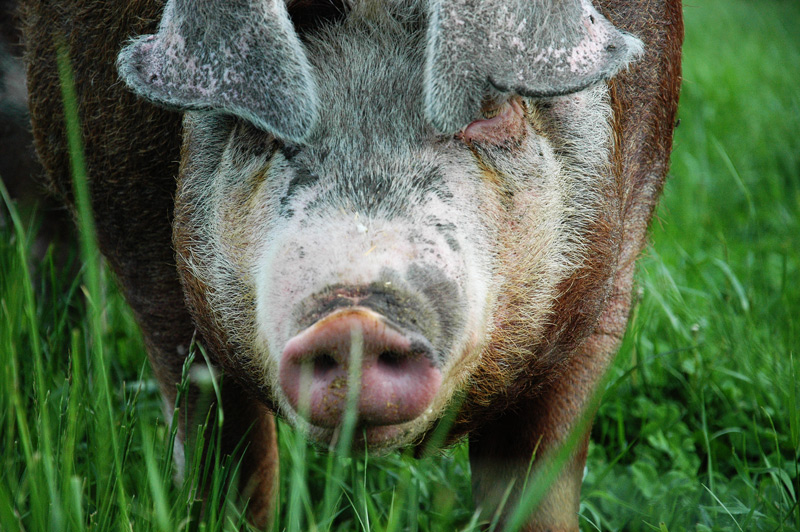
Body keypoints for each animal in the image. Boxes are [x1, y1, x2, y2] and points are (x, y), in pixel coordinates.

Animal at [20, 0, 683, 530]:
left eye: (489, 111)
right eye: (258, 130)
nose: (355, 317)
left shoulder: (609, 280)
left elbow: (540, 485)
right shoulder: (137, 238)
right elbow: (229, 452)